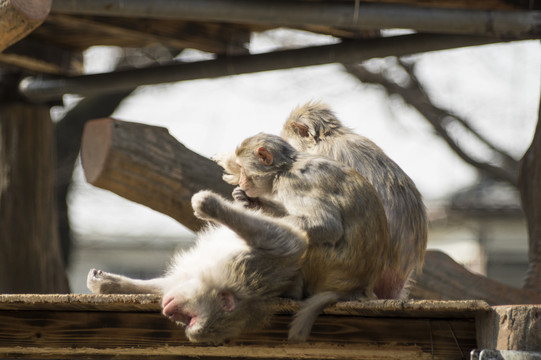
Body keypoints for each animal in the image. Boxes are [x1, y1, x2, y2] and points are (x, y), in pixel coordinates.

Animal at [87, 190, 308, 344]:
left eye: (187, 319)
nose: (168, 312)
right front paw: (107, 284)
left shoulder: (257, 265)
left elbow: (288, 240)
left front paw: (209, 205)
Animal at [212, 133, 388, 344]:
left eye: (241, 167)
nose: (241, 181)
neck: (285, 168)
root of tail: (357, 289)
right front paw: (249, 201)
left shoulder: (293, 184)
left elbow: (326, 225)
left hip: (325, 265)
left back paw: (291, 292)